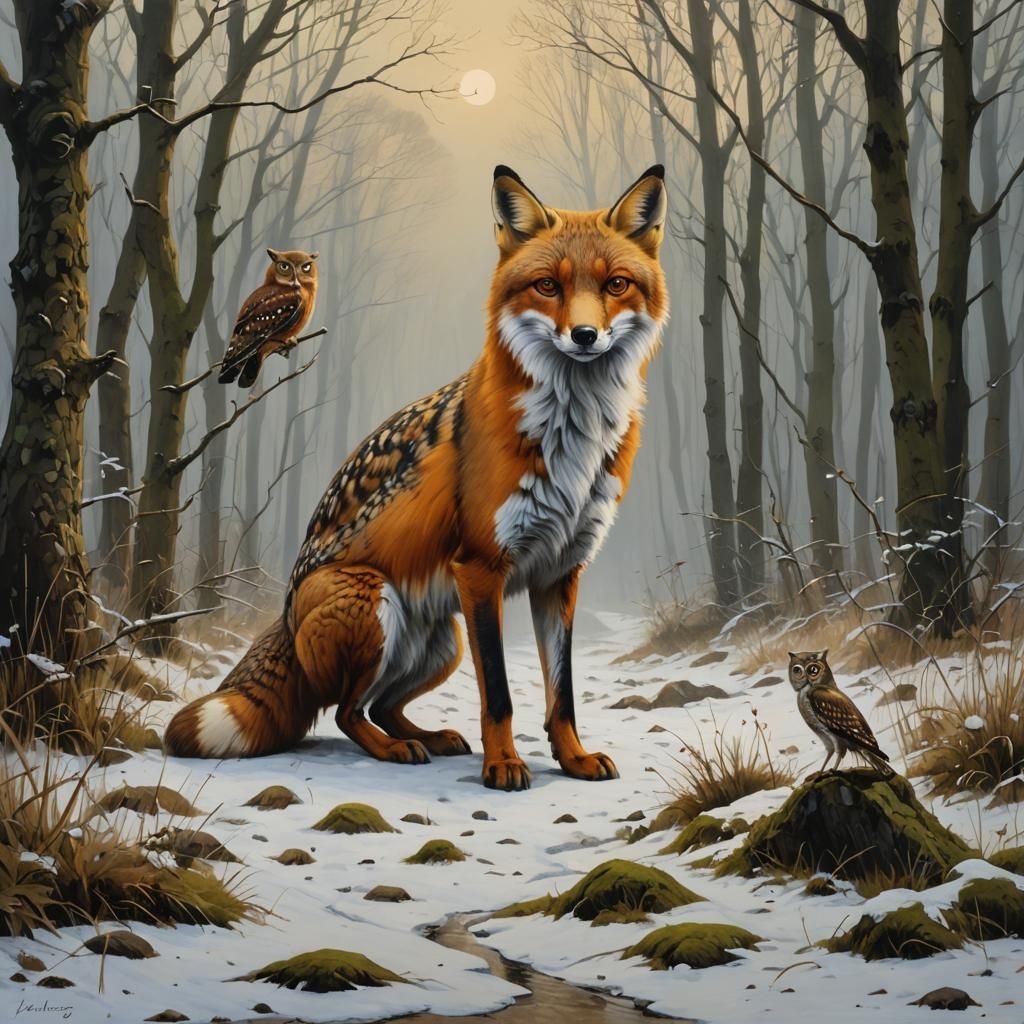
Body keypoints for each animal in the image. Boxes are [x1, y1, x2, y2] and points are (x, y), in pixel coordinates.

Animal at [165, 164, 669, 790]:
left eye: (616, 285)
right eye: (548, 286)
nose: (583, 336)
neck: (572, 438)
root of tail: (284, 609)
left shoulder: (560, 574)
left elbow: (563, 693)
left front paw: (573, 758)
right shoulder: (480, 569)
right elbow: (499, 695)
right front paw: (503, 766)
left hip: (441, 640)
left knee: (380, 705)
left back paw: (430, 737)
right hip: (376, 603)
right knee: (346, 711)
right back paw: (395, 749)